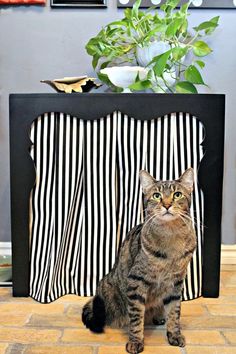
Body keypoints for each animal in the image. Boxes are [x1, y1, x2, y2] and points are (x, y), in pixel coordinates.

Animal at [82, 169, 196, 354]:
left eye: (177, 194)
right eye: (156, 196)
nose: (166, 204)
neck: (170, 236)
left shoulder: (176, 283)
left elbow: (174, 312)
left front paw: (174, 334)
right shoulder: (136, 282)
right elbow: (136, 318)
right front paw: (136, 341)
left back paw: (158, 316)